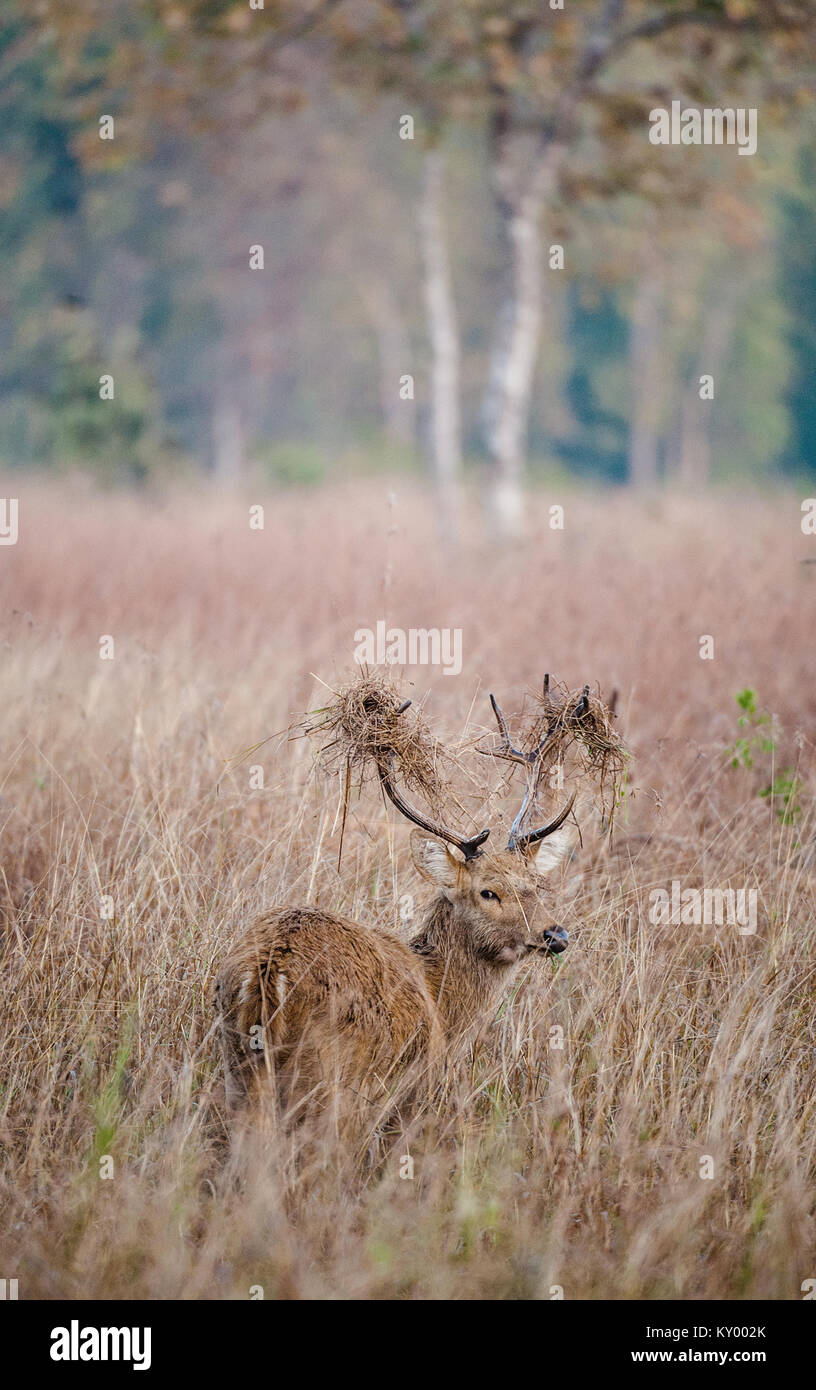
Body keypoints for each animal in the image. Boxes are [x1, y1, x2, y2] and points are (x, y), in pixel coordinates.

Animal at [214, 689, 589, 1123]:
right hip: (331, 1079)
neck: (441, 997)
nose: (555, 934)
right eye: (488, 892)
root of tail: (267, 973)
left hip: (239, 1068)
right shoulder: (409, 1092)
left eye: (536, 885)